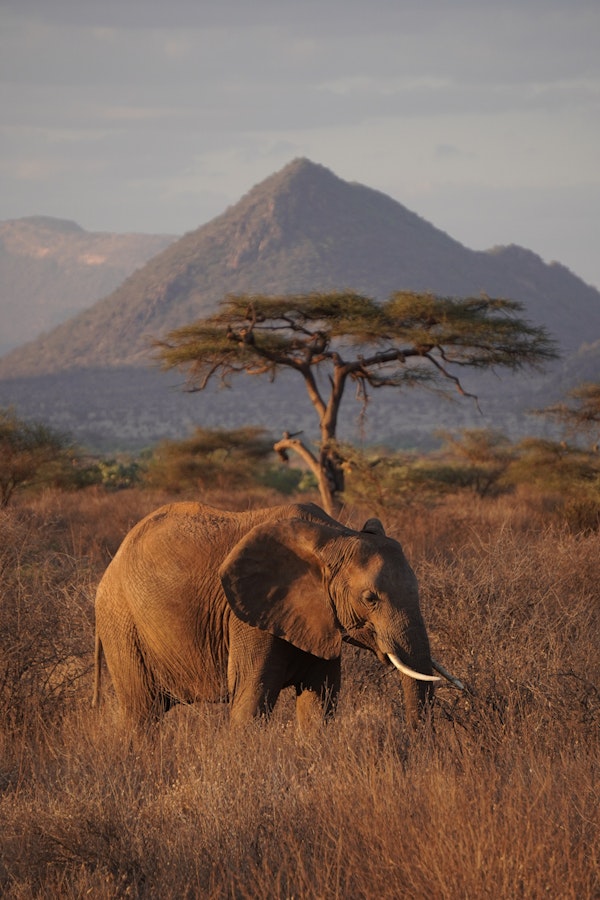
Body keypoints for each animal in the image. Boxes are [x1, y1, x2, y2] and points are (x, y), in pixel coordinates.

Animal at [93, 501, 461, 730]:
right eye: (370, 599)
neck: (335, 536)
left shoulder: (319, 618)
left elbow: (320, 701)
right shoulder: (248, 616)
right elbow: (252, 697)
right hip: (122, 624)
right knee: (143, 713)